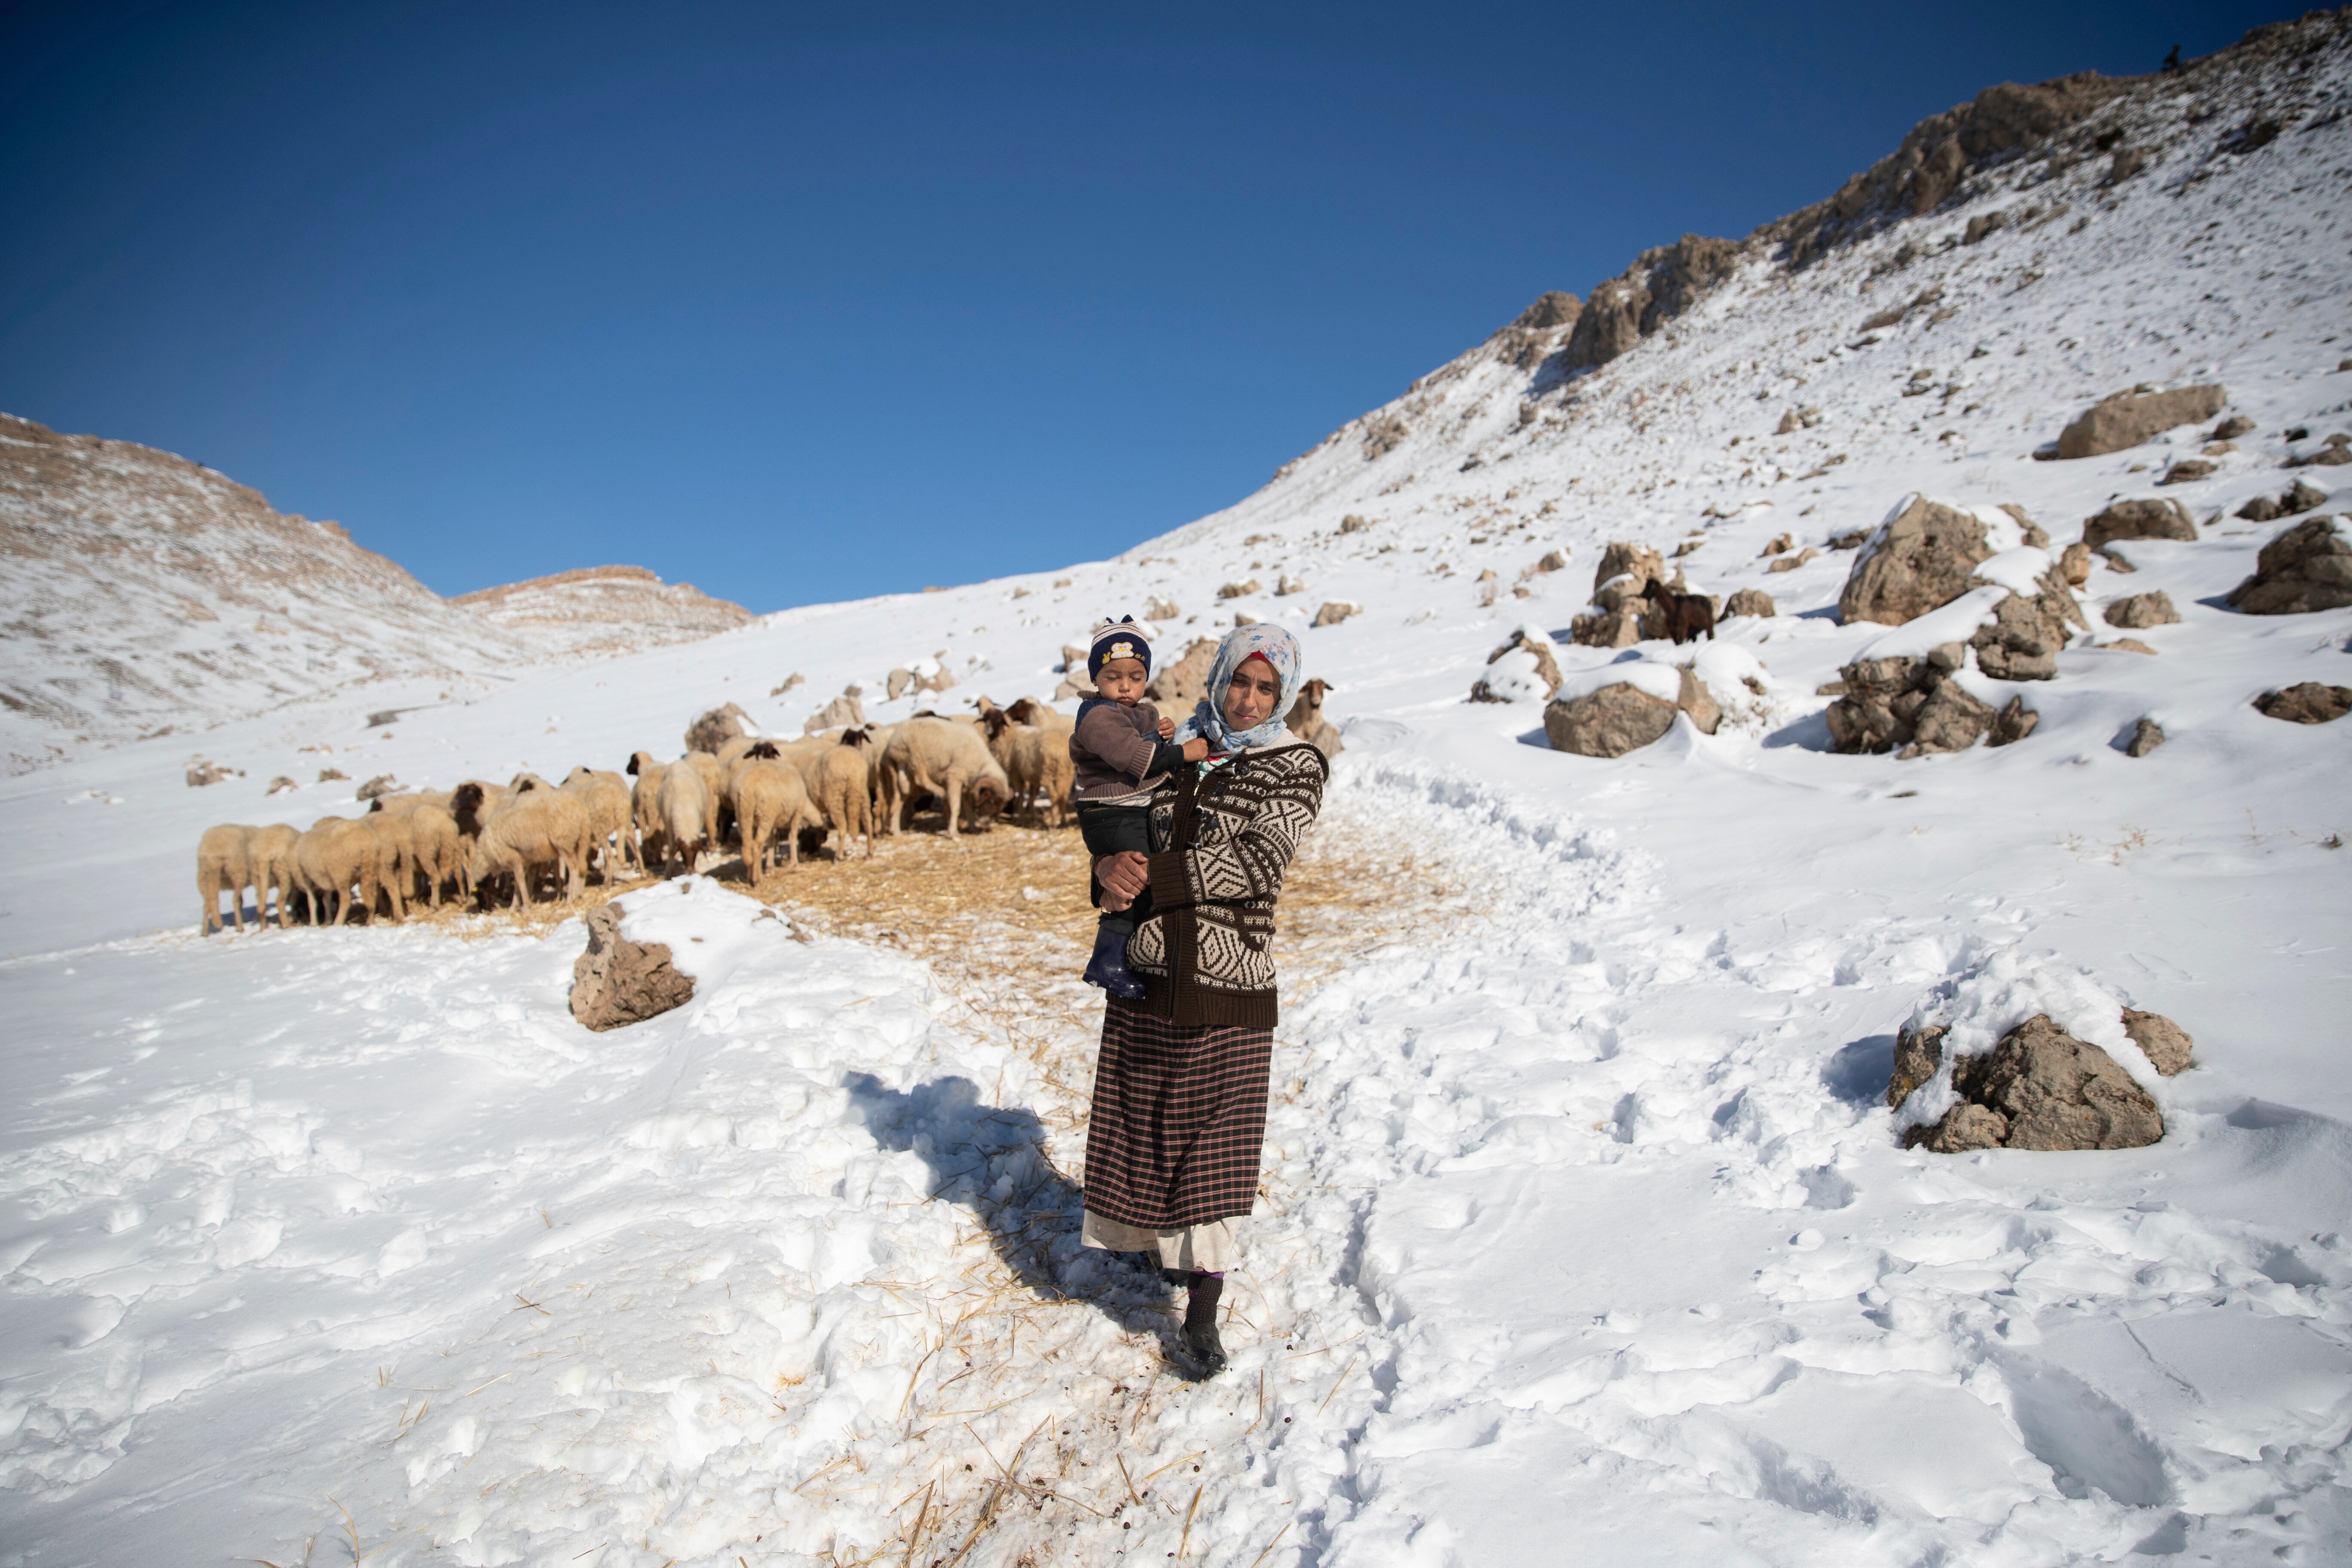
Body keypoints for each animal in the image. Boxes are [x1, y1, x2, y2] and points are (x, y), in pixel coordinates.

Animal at [195, 827, 253, 940]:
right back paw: (240, 928)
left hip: (203, 878)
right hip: (237, 872)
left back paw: (205, 933)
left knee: (207, 904)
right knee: (235, 901)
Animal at [466, 780, 592, 903]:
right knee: (582, 866)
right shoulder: (525, 859)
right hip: (580, 841)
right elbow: (523, 881)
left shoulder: (513, 858)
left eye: (481, 894)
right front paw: (519, 904)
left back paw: (570, 898)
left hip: (564, 843)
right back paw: (576, 895)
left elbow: (521, 881)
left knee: (573, 868)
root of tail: (581, 811)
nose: (485, 908)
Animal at [875, 719, 1002, 841]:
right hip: (914, 752)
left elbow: (968, 807)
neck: (979, 762)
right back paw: (941, 792)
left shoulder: (966, 785)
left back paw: (896, 831)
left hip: (903, 769)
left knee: (899, 799)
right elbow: (956, 806)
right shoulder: (955, 777)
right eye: (991, 800)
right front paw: (954, 833)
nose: (987, 823)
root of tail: (890, 748)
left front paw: (973, 828)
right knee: (920, 778)